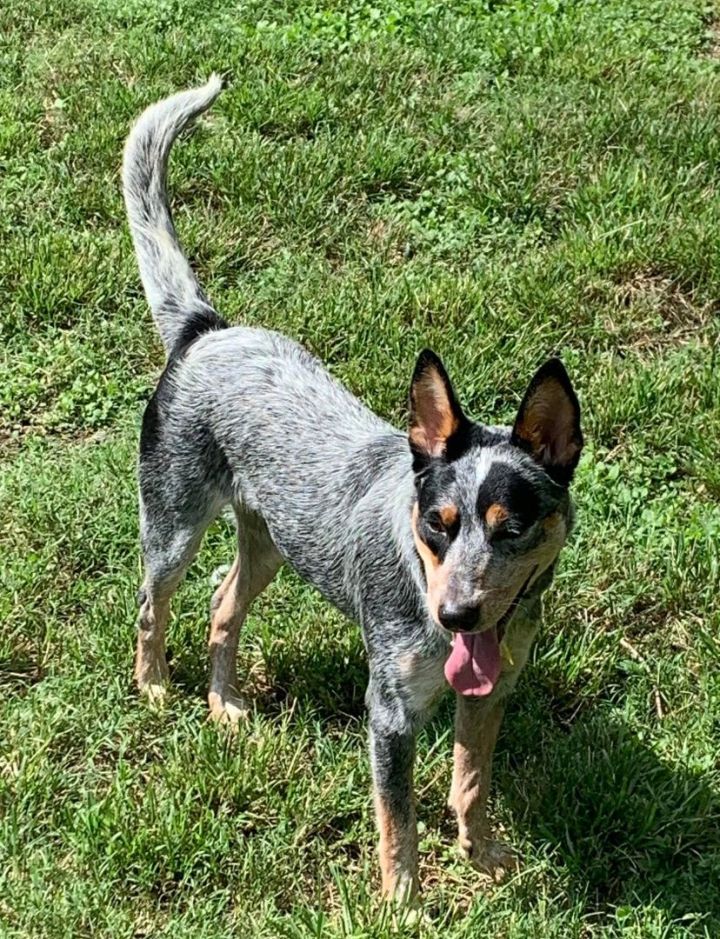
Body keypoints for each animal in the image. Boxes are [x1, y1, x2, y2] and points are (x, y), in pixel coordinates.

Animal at [122, 79, 584, 904]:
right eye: (437, 522)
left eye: (514, 525)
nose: (457, 614)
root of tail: (206, 329)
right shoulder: (390, 713)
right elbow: (396, 815)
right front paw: (402, 899)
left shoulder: (490, 694)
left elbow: (471, 782)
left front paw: (483, 853)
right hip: (171, 520)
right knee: (152, 603)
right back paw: (155, 687)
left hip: (270, 542)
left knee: (222, 603)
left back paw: (226, 702)